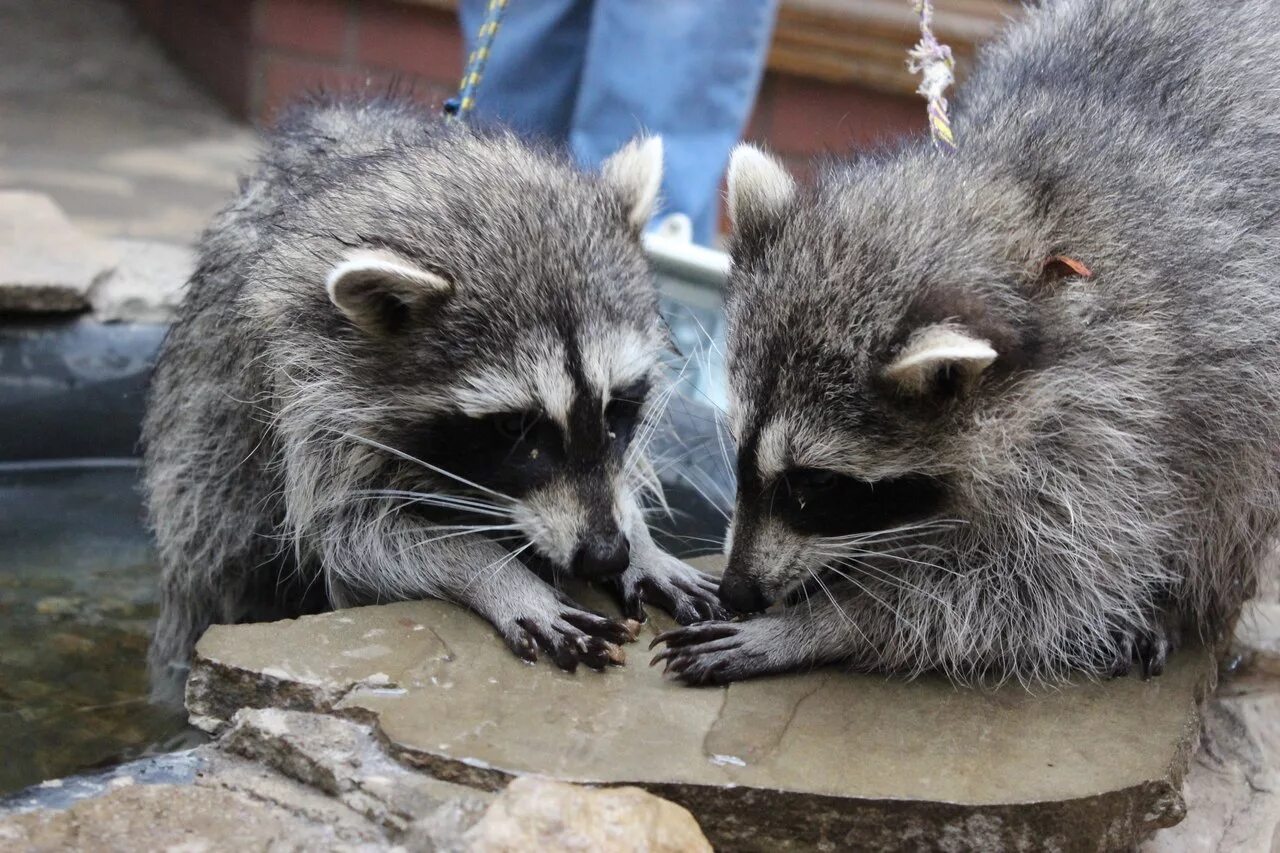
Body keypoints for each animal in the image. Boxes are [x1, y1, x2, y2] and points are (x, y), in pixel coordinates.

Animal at [145, 96, 727, 701]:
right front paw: (497, 576)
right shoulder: (303, 393)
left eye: (617, 408)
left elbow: (619, 472)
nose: (606, 553)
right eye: (514, 429)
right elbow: (353, 540)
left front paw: (642, 542)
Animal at [655, 0, 1280, 681]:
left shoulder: (1120, 405)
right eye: (737, 447)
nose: (738, 591)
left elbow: (1048, 582)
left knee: (1235, 499)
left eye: (815, 483)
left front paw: (828, 622)